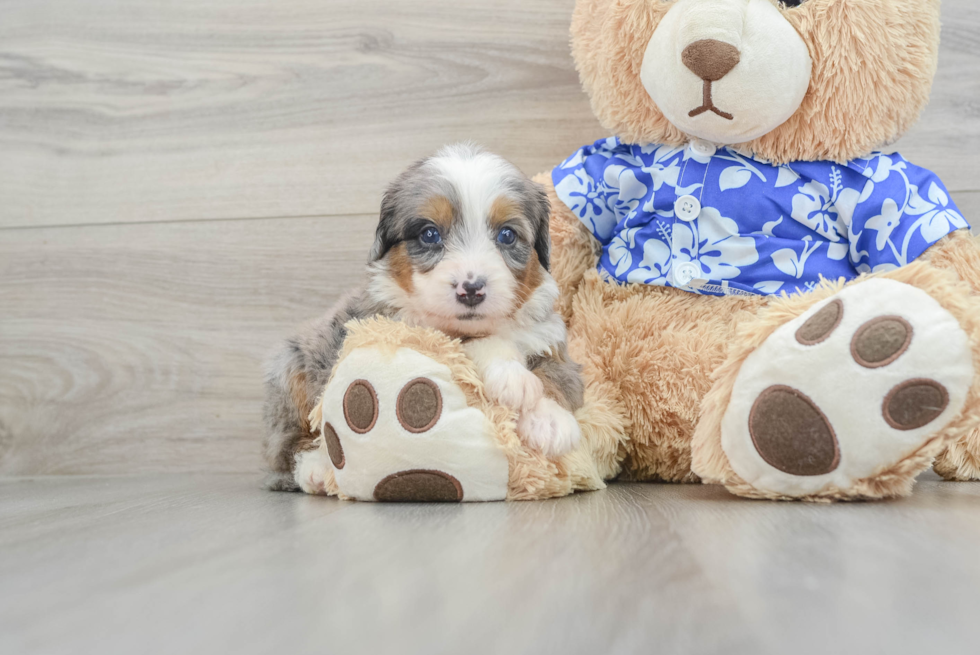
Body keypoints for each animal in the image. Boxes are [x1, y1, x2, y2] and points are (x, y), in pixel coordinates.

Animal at [260, 144, 580, 492]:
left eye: (507, 235)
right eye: (429, 234)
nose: (471, 289)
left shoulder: (550, 339)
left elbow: (557, 376)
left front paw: (550, 419)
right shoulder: (407, 329)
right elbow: (473, 345)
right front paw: (512, 377)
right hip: (292, 372)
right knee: (290, 444)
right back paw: (316, 468)